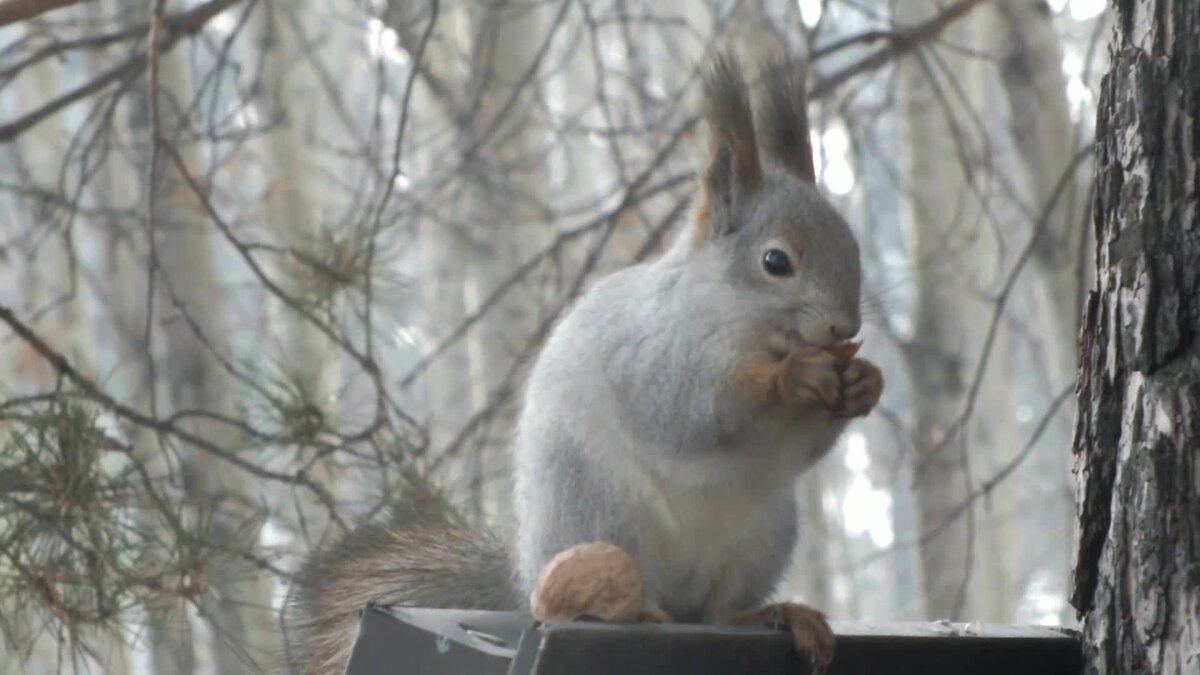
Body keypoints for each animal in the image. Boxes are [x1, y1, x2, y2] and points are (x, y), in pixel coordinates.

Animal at [280, 53, 883, 672]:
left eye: (852, 245)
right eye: (775, 262)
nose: (844, 328)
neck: (743, 324)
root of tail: (526, 576)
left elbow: (801, 446)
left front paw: (865, 382)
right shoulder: (649, 357)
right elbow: (697, 411)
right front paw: (794, 377)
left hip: (761, 537)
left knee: (718, 613)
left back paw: (772, 615)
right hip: (601, 514)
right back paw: (634, 613)